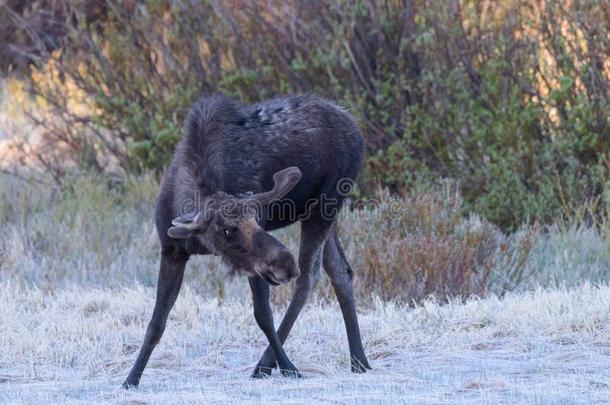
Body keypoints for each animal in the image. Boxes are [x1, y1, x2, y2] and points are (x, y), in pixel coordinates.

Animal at [122, 93, 370, 386]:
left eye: (257, 220)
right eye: (228, 230)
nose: (285, 264)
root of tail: (356, 129)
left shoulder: (256, 266)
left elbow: (263, 316)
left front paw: (288, 368)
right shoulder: (172, 251)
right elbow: (156, 322)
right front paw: (131, 378)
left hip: (325, 205)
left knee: (309, 276)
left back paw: (266, 363)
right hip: (320, 213)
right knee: (340, 271)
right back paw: (359, 361)